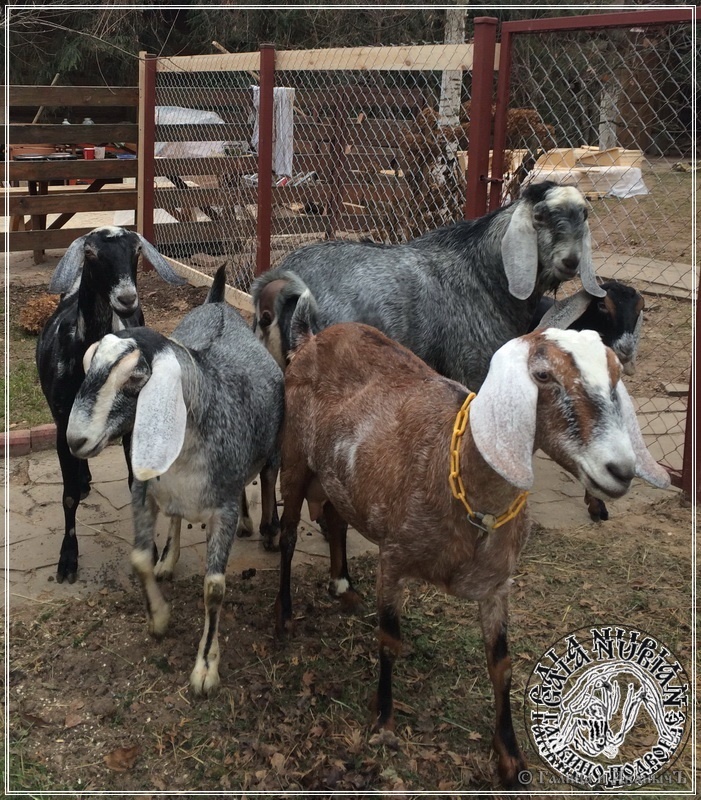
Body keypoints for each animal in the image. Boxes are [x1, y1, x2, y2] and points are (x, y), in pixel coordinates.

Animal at [65, 268, 284, 692]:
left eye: (136, 377)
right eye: (88, 365)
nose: (75, 440)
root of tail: (217, 304)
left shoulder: (223, 507)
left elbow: (214, 588)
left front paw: (205, 668)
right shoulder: (143, 489)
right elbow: (139, 558)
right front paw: (160, 617)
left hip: (274, 447)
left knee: (266, 476)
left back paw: (265, 527)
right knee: (178, 515)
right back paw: (170, 558)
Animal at [253, 182, 608, 394]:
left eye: (584, 214)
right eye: (540, 215)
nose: (571, 261)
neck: (482, 271)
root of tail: (284, 277)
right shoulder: (472, 368)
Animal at [274, 312, 668, 788]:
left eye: (615, 375)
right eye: (542, 375)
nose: (620, 470)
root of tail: (314, 337)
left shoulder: (498, 585)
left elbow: (502, 665)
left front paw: (511, 758)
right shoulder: (393, 559)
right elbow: (389, 640)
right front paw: (384, 722)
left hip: (338, 475)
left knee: (334, 517)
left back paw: (343, 585)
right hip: (294, 458)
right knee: (288, 536)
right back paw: (284, 616)